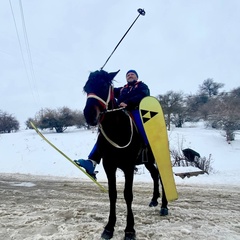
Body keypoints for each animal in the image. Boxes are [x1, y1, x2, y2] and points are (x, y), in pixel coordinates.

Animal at [82, 68, 167, 239]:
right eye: (86, 88)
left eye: (104, 85)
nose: (89, 114)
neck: (117, 129)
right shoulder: (109, 166)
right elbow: (112, 194)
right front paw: (109, 227)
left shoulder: (128, 167)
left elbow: (128, 195)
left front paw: (129, 229)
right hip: (147, 162)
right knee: (154, 175)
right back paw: (154, 199)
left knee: (163, 177)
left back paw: (164, 206)